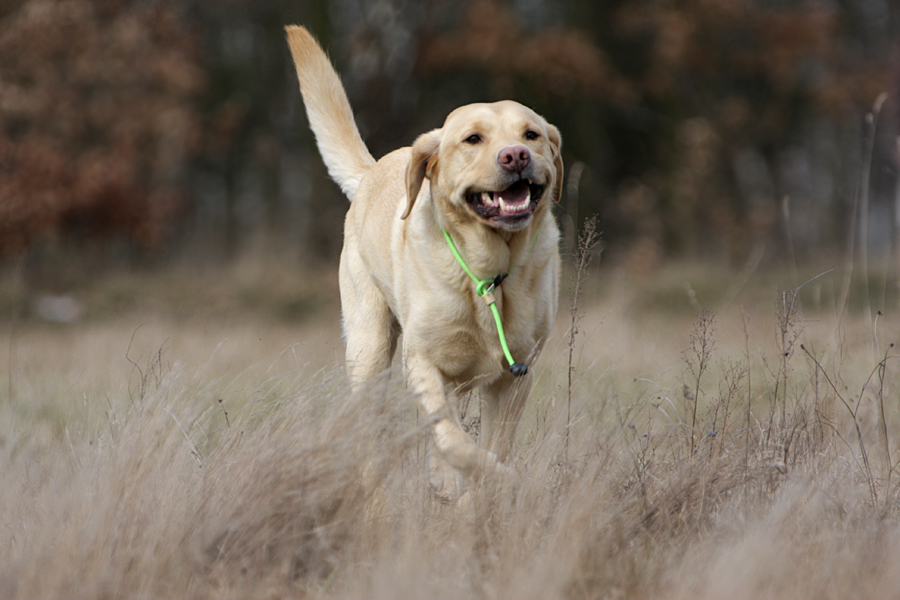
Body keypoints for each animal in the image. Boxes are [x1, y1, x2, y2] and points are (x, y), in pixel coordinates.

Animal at [284, 25, 560, 500]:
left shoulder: (514, 378)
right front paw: (482, 478)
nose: (515, 156)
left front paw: (482, 493)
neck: (487, 274)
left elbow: (489, 445)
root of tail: (372, 171)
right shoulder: (425, 364)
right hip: (369, 351)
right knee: (374, 436)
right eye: (473, 139)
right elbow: (454, 441)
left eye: (531, 135)